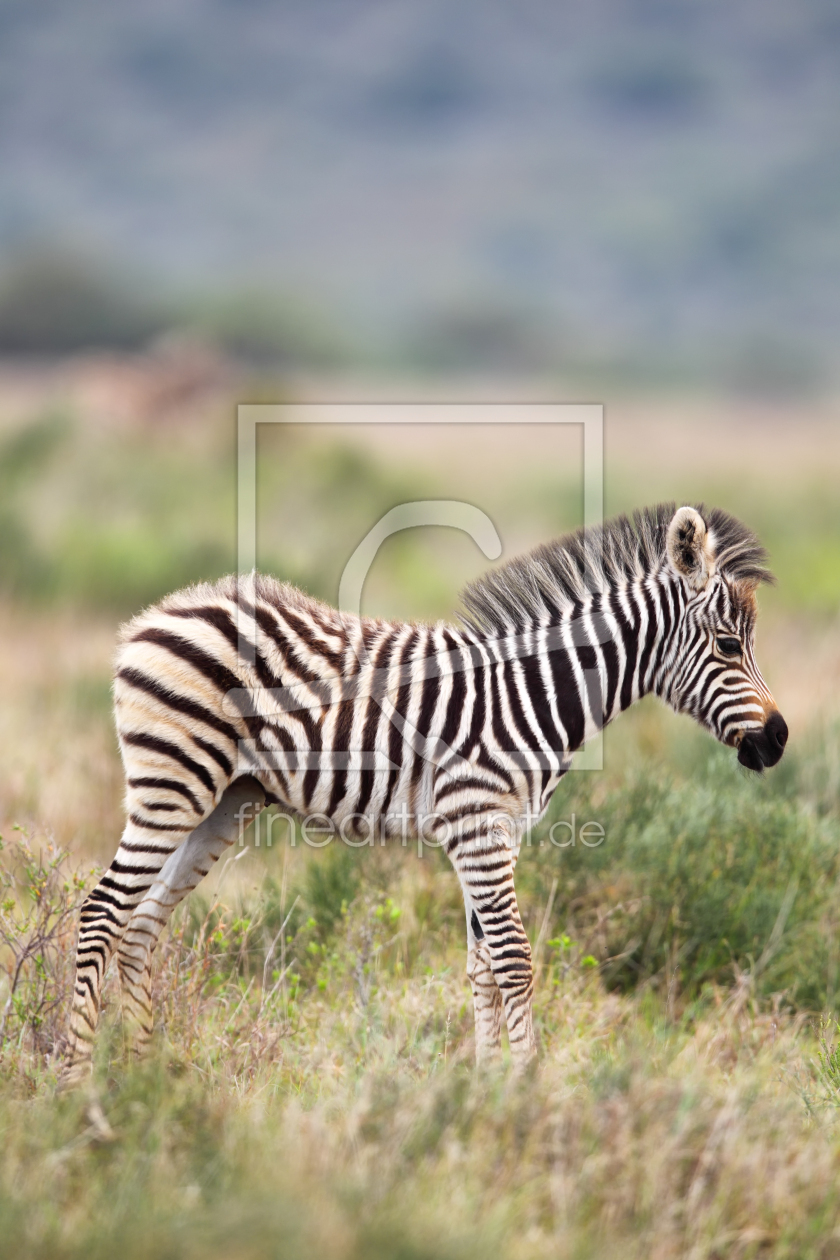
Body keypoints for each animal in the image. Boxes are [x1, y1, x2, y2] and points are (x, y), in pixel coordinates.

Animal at [60, 502, 787, 1086]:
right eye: (728, 646)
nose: (778, 741)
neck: (535, 694)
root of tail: (158, 613)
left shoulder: (497, 833)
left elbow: (482, 965)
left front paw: (486, 1087)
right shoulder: (476, 822)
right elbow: (514, 960)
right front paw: (527, 1089)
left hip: (223, 801)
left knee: (142, 925)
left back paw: (147, 1078)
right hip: (173, 784)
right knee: (102, 912)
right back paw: (74, 1087)